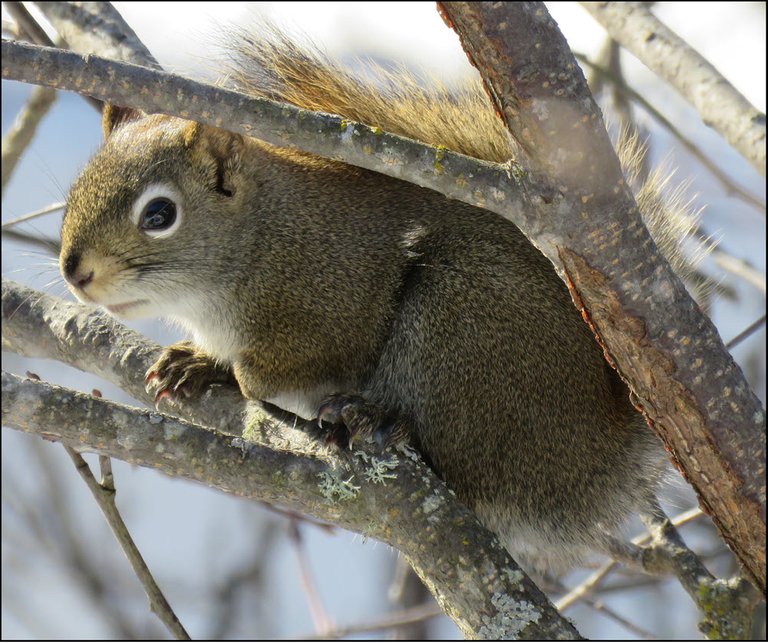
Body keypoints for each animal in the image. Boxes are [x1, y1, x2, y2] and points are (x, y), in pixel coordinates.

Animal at [57, 27, 700, 572]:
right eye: (75, 187)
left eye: (159, 214)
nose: (75, 273)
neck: (257, 241)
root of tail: (598, 452)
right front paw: (195, 363)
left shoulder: (342, 291)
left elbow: (294, 362)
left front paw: (242, 375)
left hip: (464, 328)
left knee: (466, 463)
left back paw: (375, 418)